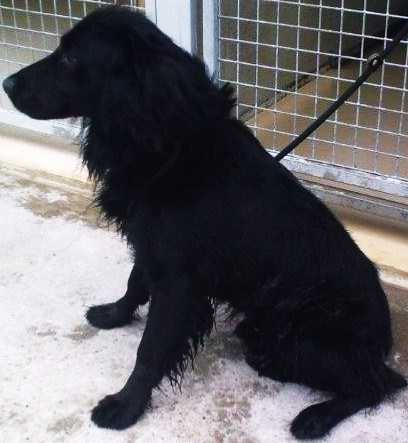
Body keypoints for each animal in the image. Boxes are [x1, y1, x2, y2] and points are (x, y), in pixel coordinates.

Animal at [3, 6, 406, 440]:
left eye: (71, 58)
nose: (6, 83)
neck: (168, 145)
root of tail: (384, 333)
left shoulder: (179, 281)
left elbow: (150, 349)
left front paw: (125, 405)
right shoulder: (153, 247)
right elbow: (134, 281)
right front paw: (114, 314)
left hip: (302, 335)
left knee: (378, 383)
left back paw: (316, 416)